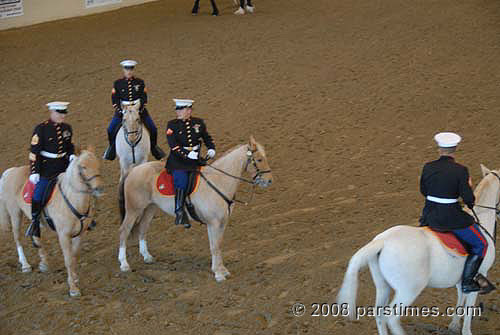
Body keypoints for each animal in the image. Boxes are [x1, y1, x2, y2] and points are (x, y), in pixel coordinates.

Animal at [0, 148, 103, 298]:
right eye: (83, 167)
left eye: (98, 163)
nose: (99, 188)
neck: (72, 200)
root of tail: (10, 171)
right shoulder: (63, 236)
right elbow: (68, 259)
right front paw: (73, 289)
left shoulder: (80, 234)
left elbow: (73, 256)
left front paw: (74, 277)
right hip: (15, 213)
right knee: (17, 238)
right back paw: (25, 265)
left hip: (34, 220)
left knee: (36, 236)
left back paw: (43, 263)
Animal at [117, 136, 274, 280]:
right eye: (259, 159)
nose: (269, 181)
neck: (218, 181)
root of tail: (133, 170)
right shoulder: (213, 223)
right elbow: (214, 246)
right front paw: (218, 274)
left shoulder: (222, 223)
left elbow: (218, 245)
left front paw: (221, 270)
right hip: (133, 210)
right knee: (124, 231)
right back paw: (124, 264)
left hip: (150, 208)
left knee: (142, 228)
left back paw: (147, 257)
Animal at [338, 165, 498, 335]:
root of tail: (382, 241)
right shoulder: (480, 273)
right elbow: (469, 305)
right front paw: (466, 330)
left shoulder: (462, 278)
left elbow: (462, 296)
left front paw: (454, 325)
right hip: (408, 291)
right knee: (391, 318)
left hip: (383, 286)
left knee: (379, 314)